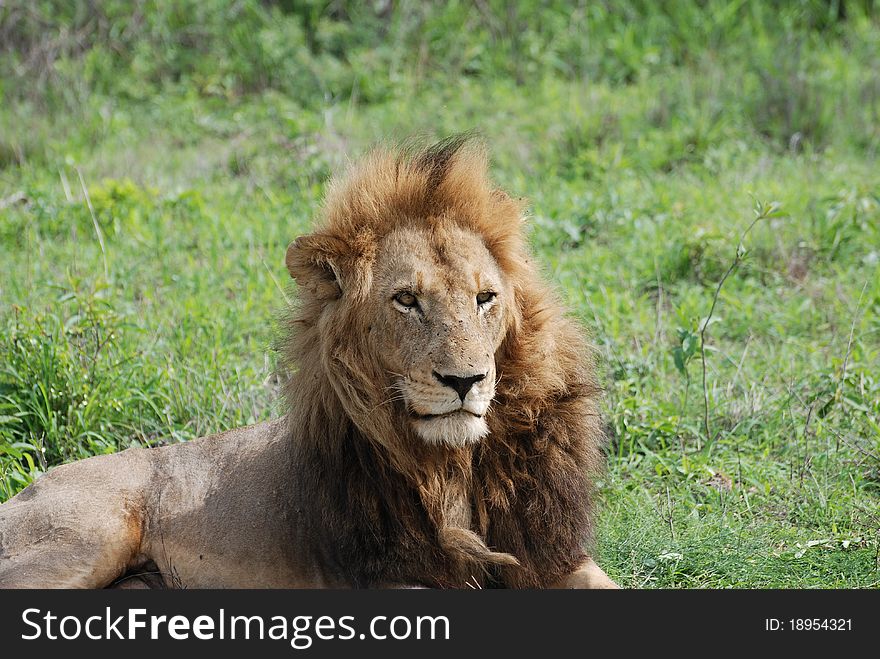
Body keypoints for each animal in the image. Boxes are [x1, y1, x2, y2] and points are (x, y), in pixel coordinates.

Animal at [0, 137, 620, 592]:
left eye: (485, 298)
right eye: (406, 300)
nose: (465, 381)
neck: (450, 468)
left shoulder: (550, 554)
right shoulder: (387, 577)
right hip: (86, 540)